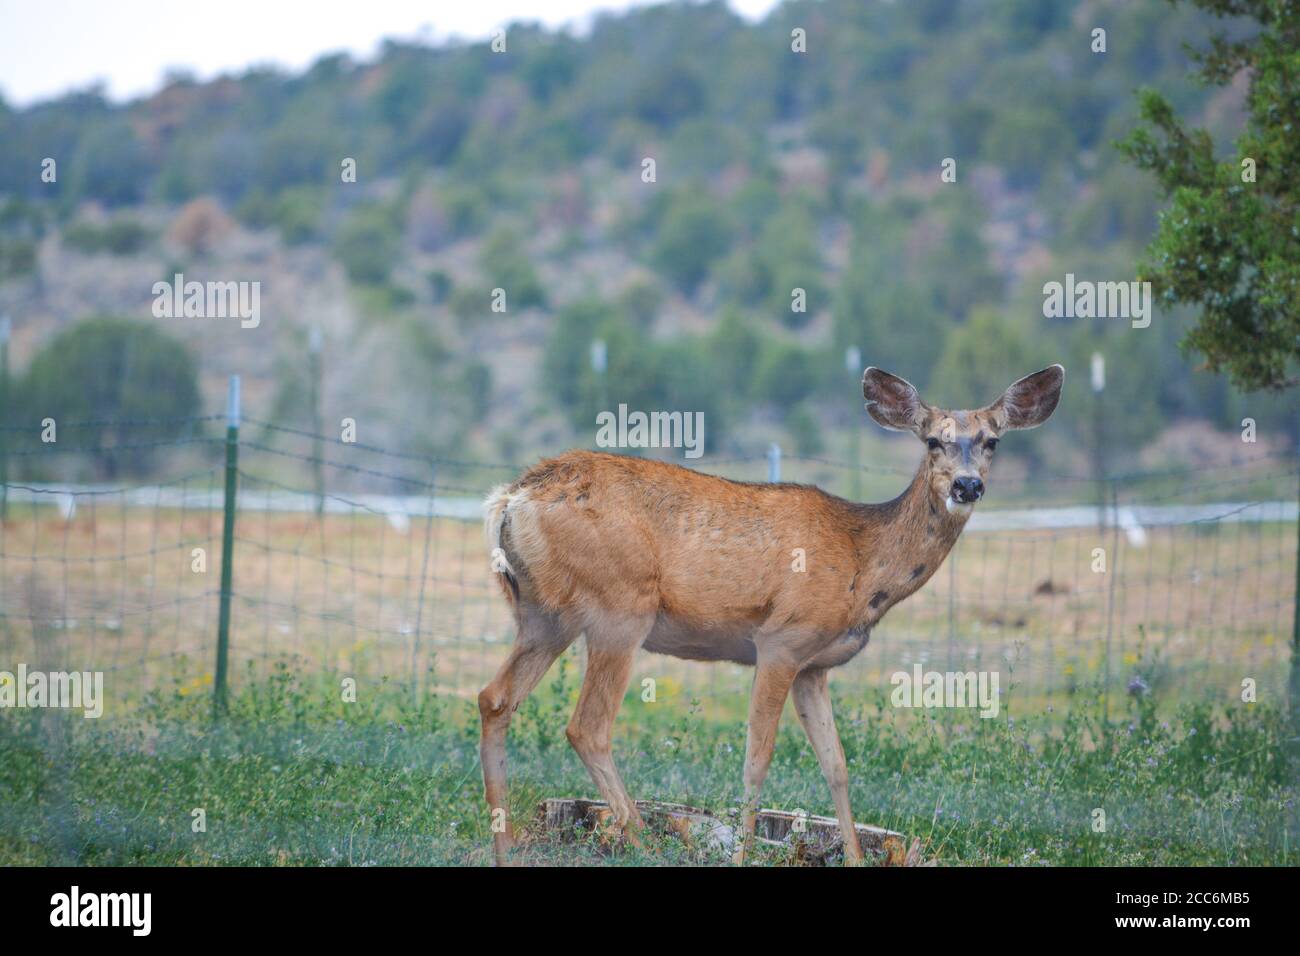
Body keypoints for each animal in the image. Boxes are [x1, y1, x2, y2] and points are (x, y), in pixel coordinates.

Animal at [479, 364, 1064, 865]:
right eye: (932, 440)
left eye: (992, 440)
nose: (967, 485)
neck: (862, 560)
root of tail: (510, 498)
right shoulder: (781, 640)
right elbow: (756, 760)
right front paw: (742, 854)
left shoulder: (814, 666)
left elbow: (837, 765)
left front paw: (855, 856)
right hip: (620, 606)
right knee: (587, 726)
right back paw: (642, 843)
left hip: (543, 615)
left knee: (495, 699)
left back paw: (505, 851)